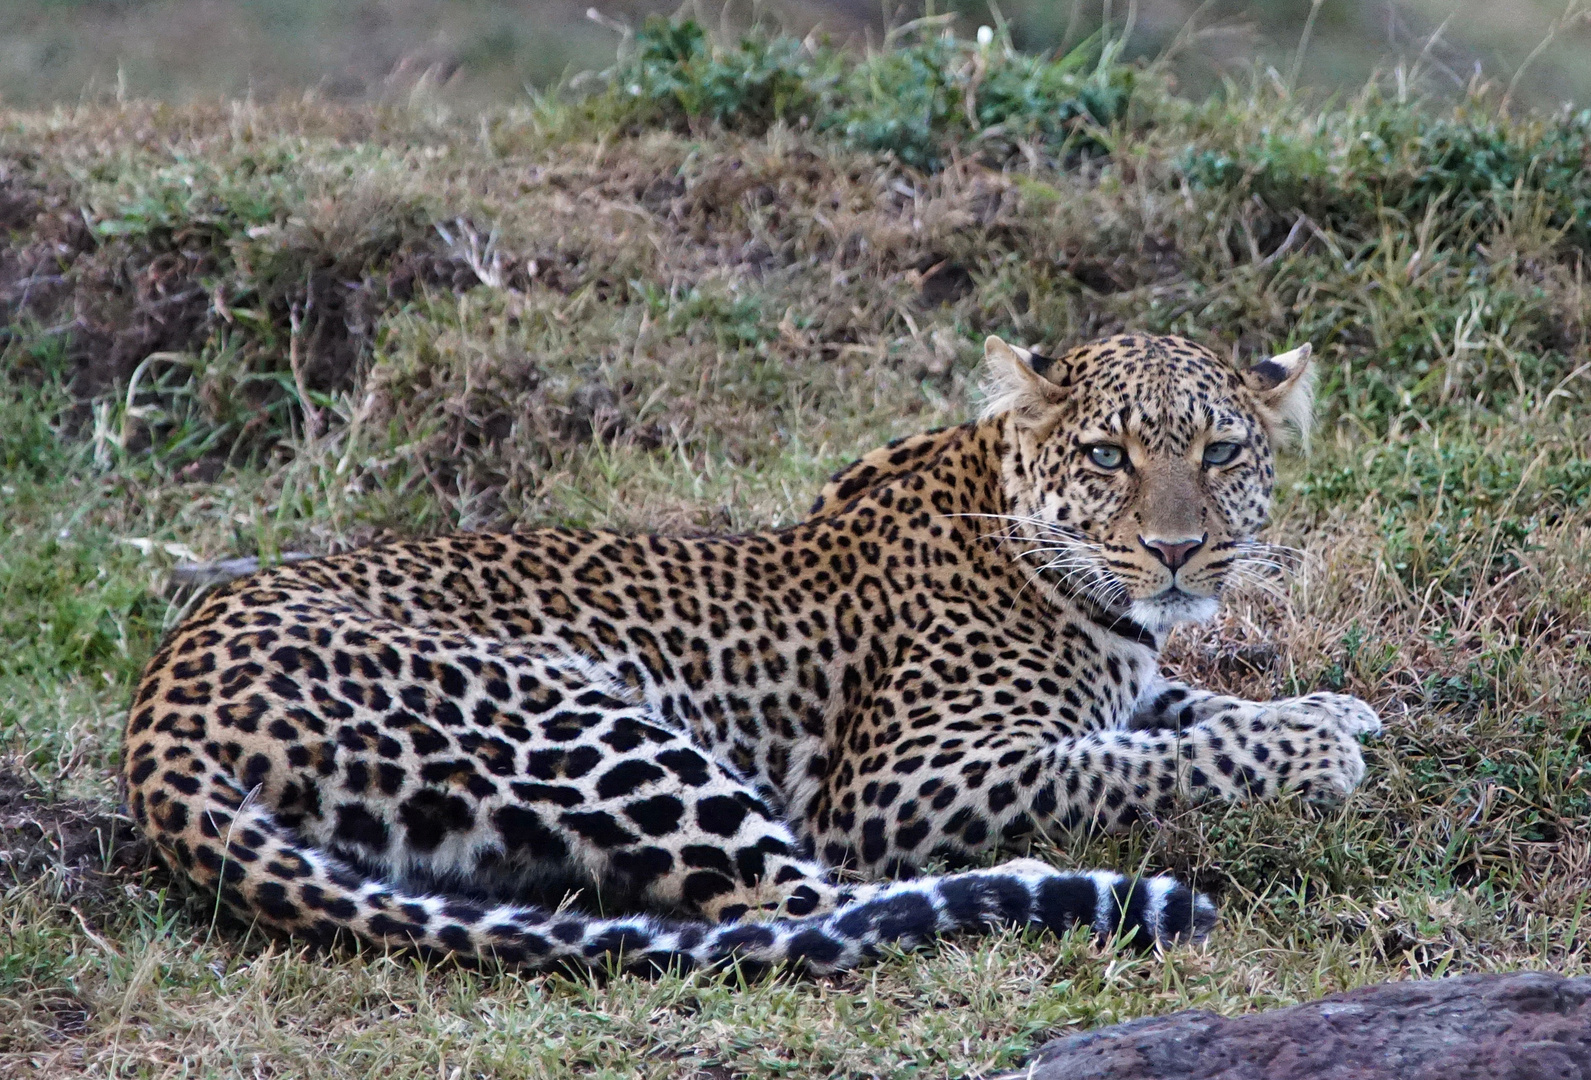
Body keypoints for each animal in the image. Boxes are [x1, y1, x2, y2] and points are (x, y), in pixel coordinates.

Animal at [120, 332, 1380, 979]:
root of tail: (161, 703)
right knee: (794, 905)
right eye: (1109, 456)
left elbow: (1178, 709)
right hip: (586, 723)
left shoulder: (1130, 680)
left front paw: (1331, 712)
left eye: (1220, 453)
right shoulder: (902, 781)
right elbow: (1121, 761)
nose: (1176, 551)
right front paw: (1318, 749)